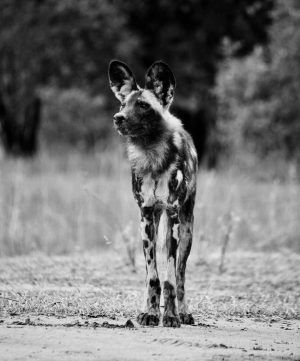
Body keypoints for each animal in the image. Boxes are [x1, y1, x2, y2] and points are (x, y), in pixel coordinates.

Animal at [108, 60, 197, 328]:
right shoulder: (146, 215)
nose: (118, 118)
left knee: (180, 275)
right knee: (151, 274)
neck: (152, 156)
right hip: (154, 225)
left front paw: (170, 316)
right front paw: (150, 313)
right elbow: (152, 277)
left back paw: (184, 312)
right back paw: (147, 309)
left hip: (185, 230)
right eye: (123, 105)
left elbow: (169, 278)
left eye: (143, 105)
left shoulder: (173, 215)